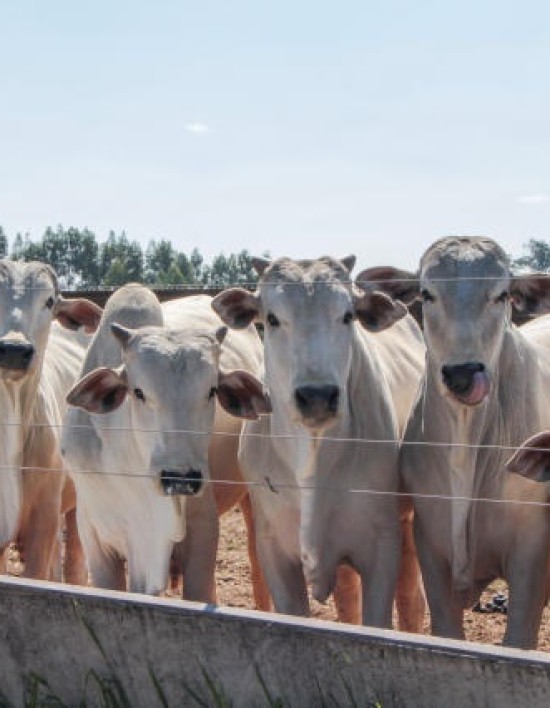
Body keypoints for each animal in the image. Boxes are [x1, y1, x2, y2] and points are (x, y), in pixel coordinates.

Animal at [212, 256, 426, 632]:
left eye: (347, 315)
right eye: (272, 318)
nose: (316, 396)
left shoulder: (381, 547)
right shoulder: (275, 551)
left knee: (411, 599)